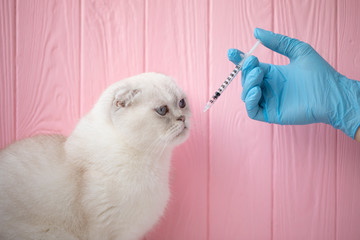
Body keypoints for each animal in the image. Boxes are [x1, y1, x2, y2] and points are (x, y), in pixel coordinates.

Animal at [0, 72, 191, 240]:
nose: (182, 118)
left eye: (181, 103)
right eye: (162, 110)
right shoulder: (113, 232)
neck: (154, 161)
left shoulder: (131, 233)